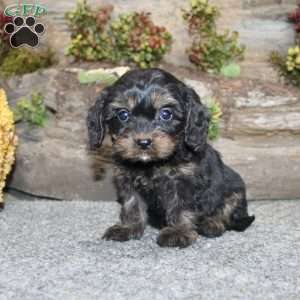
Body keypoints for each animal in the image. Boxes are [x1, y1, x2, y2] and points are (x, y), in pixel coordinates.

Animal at [88, 68, 254, 248]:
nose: (143, 142)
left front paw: (178, 232)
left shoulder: (184, 181)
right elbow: (132, 204)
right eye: (123, 114)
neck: (151, 164)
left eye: (166, 114)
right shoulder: (127, 180)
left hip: (235, 190)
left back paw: (211, 224)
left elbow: (180, 206)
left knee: (226, 213)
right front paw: (128, 227)